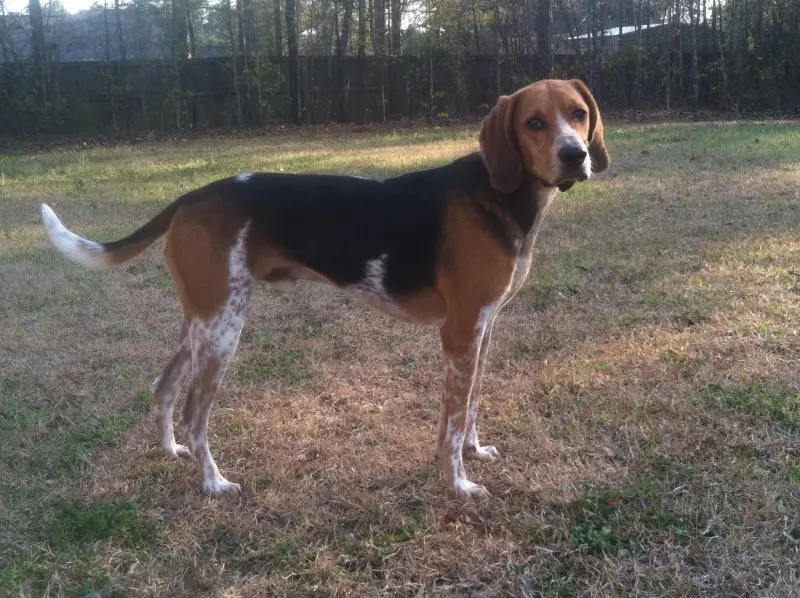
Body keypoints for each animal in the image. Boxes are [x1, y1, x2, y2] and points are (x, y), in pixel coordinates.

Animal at [40, 78, 608, 502]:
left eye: (579, 113)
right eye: (534, 122)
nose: (575, 154)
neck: (499, 193)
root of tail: (191, 195)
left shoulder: (483, 329)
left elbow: (468, 408)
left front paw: (475, 452)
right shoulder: (459, 333)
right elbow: (448, 425)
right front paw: (459, 484)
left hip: (202, 321)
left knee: (163, 390)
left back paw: (173, 453)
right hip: (223, 331)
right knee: (194, 413)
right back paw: (213, 483)